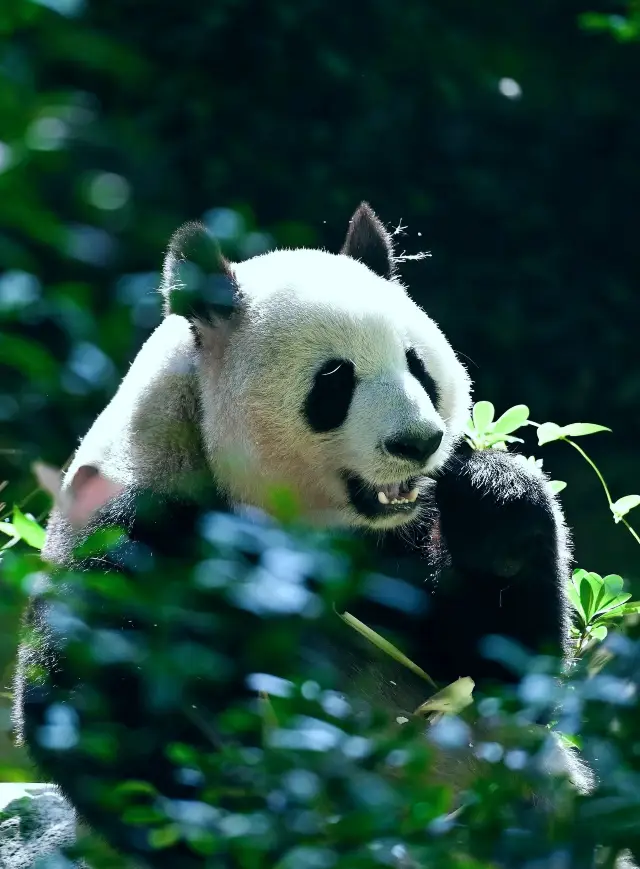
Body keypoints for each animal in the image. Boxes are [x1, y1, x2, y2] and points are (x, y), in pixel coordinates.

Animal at [11, 202, 580, 860]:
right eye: (336, 378)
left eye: (418, 365)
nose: (418, 442)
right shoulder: (135, 525)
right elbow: (104, 711)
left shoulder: (397, 543)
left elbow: (490, 676)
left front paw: (495, 500)